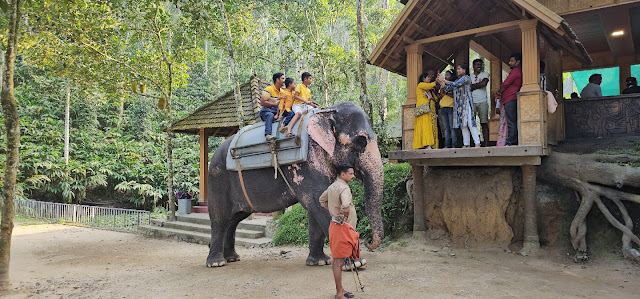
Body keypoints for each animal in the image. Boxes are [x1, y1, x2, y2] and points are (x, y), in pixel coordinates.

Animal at [208, 102, 382, 268]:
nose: (368, 241)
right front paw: (356, 263)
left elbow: (317, 205)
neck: (326, 112)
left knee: (234, 219)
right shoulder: (305, 163)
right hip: (218, 179)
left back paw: (232, 258)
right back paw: (217, 263)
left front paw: (319, 262)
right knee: (219, 218)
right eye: (361, 141)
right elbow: (316, 203)